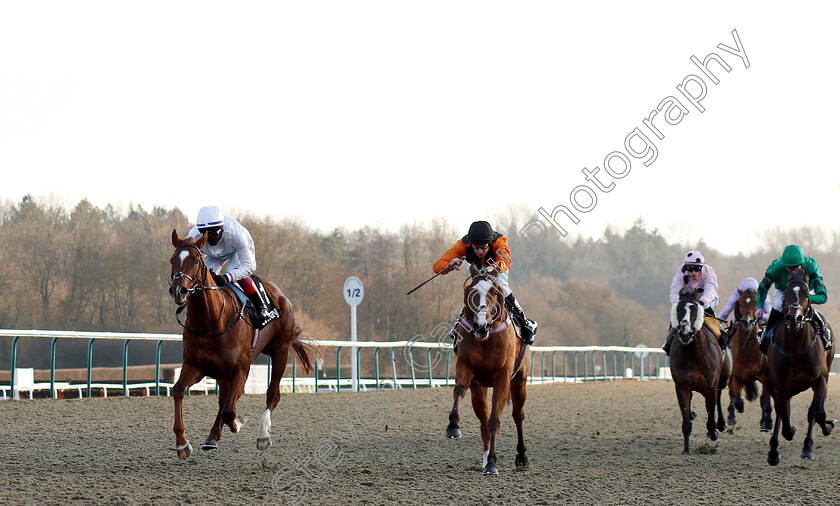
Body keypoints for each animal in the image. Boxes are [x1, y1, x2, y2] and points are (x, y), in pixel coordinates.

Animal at [169, 229, 320, 458]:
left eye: (196, 260)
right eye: (172, 260)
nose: (179, 291)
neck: (212, 321)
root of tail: (280, 294)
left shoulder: (241, 370)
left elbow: (230, 411)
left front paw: (239, 422)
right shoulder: (195, 366)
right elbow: (178, 391)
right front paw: (182, 444)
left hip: (280, 350)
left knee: (272, 394)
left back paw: (263, 435)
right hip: (222, 371)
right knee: (223, 399)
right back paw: (212, 437)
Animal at [442, 268, 528, 474]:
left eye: (495, 292)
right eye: (471, 292)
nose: (481, 325)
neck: (486, 339)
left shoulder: (502, 378)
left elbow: (495, 420)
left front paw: (492, 463)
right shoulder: (467, 367)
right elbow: (459, 391)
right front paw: (453, 426)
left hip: (519, 382)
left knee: (518, 416)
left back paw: (521, 457)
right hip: (479, 388)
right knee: (483, 418)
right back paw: (485, 456)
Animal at [668, 288, 732, 454]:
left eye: (695, 309)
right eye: (678, 308)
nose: (685, 333)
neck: (694, 354)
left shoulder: (710, 387)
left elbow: (711, 416)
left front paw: (714, 431)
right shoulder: (682, 386)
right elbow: (686, 420)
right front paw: (686, 449)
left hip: (723, 378)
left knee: (719, 394)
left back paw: (721, 424)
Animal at [724, 288, 772, 430]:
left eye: (756, 303)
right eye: (740, 303)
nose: (747, 321)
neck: (748, 351)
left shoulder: (765, 376)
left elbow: (764, 399)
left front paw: (766, 421)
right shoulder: (735, 375)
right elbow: (736, 398)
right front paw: (737, 410)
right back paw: (731, 415)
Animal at [768, 268, 832, 466]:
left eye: (806, 295)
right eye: (787, 294)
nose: (793, 318)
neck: (796, 348)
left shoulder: (820, 379)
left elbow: (818, 413)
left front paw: (827, 426)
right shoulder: (780, 385)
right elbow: (784, 417)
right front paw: (776, 450)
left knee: (813, 411)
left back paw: (807, 447)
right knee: (781, 412)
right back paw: (773, 450)